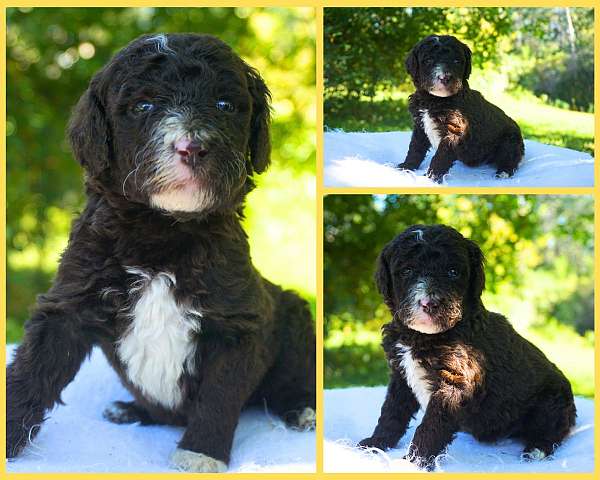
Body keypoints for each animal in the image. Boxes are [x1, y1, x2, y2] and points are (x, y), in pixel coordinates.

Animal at [7, 33, 316, 472]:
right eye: (143, 106)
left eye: (224, 104)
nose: (193, 147)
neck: (163, 233)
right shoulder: (70, 299)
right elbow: (32, 371)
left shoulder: (238, 323)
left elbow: (219, 395)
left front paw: (201, 453)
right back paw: (129, 410)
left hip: (293, 316)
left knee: (293, 380)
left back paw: (302, 409)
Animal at [358, 227, 576, 470]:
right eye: (407, 271)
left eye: (453, 272)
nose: (430, 304)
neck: (420, 336)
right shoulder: (400, 374)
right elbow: (391, 411)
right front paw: (376, 444)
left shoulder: (455, 381)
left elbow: (431, 425)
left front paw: (414, 463)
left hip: (551, 403)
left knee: (552, 431)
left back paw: (537, 449)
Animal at [398, 35, 524, 182]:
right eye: (428, 60)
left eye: (457, 61)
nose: (445, 77)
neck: (434, 100)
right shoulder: (420, 125)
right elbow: (415, 147)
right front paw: (406, 167)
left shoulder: (454, 130)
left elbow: (441, 155)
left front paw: (432, 177)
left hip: (510, 141)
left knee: (510, 158)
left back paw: (504, 172)